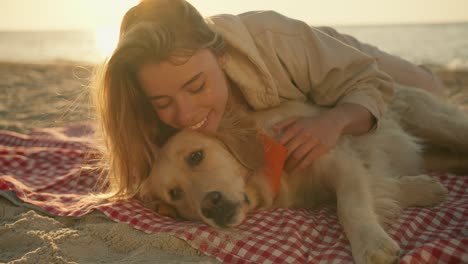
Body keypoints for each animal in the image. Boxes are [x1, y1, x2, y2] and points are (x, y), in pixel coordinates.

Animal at [139, 85, 468, 262]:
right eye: (175, 194)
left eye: (196, 156)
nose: (210, 205)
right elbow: (379, 186)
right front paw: (424, 189)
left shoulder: (336, 158)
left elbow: (350, 206)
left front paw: (371, 245)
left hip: (439, 124)